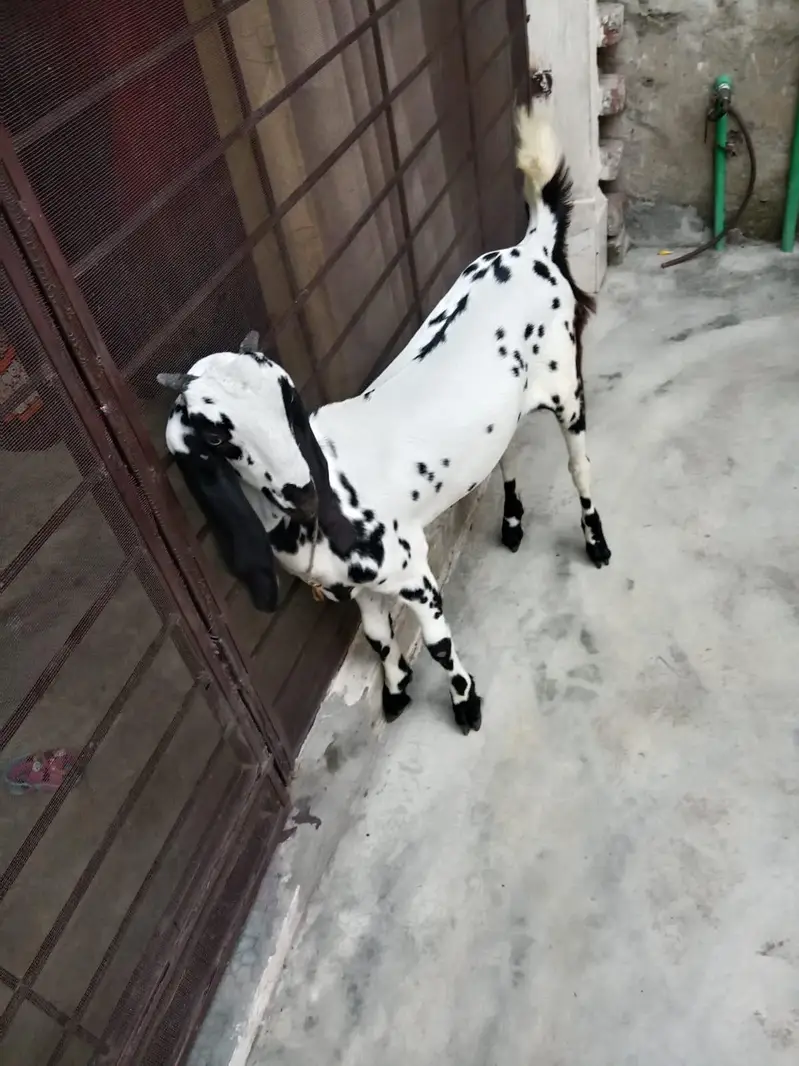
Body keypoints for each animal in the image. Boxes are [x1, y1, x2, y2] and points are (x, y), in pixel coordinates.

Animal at [158, 105, 611, 737]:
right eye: (219, 436)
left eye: (285, 400)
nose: (302, 488)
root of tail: (532, 248)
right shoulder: (360, 589)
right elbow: (375, 637)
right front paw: (395, 691)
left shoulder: (412, 569)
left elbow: (438, 643)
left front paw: (465, 704)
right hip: (509, 410)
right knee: (509, 451)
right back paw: (513, 524)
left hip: (566, 384)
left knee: (579, 465)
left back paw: (596, 543)